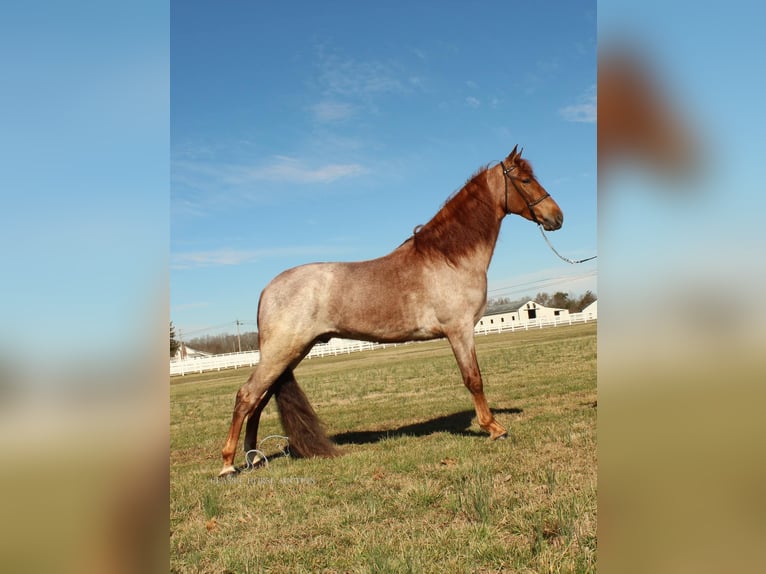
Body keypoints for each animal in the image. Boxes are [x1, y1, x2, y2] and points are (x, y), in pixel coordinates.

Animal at [216, 146, 564, 480]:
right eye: (525, 180)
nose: (557, 217)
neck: (449, 257)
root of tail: (268, 289)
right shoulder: (460, 331)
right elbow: (473, 379)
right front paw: (494, 428)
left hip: (292, 352)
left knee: (259, 400)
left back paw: (253, 458)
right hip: (281, 352)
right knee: (246, 396)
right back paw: (228, 465)